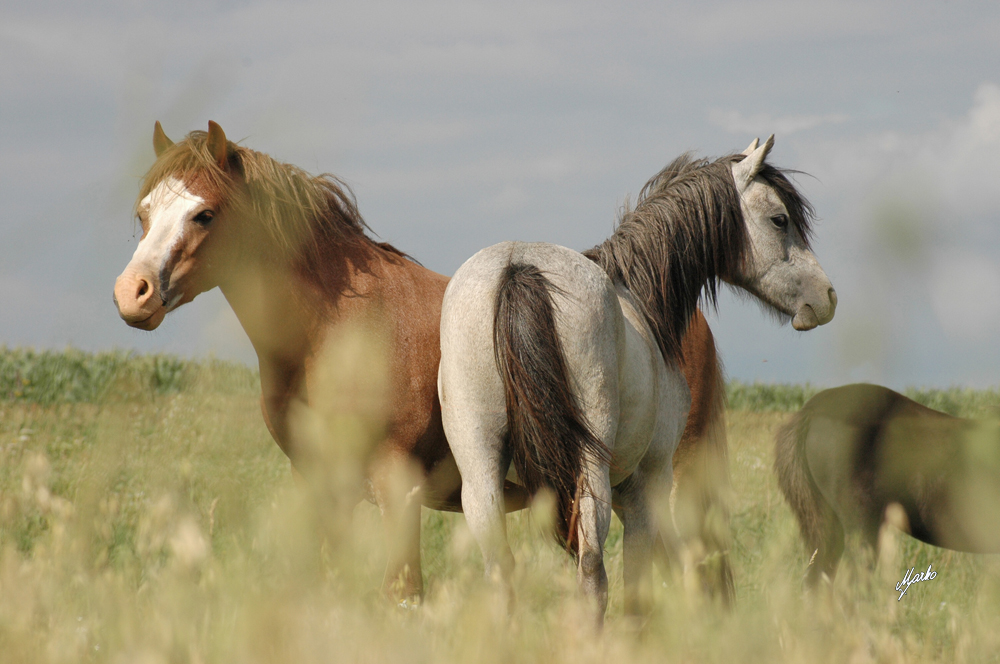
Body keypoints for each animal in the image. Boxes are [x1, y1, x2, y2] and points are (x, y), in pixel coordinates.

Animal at [113, 120, 732, 600]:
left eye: (204, 214)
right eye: (143, 213)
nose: (132, 293)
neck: (339, 330)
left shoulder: (399, 486)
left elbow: (403, 590)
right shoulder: (318, 483)